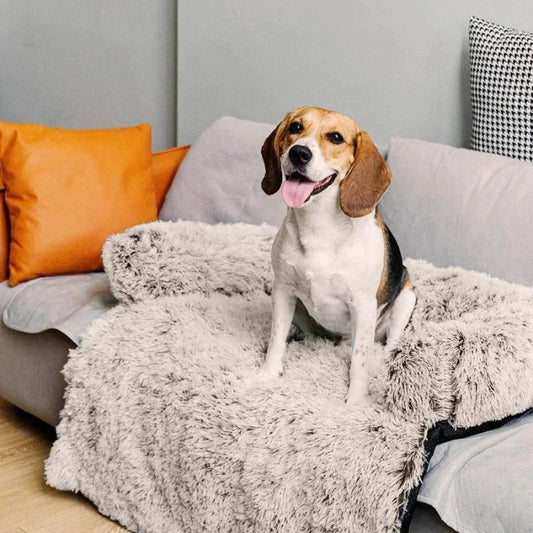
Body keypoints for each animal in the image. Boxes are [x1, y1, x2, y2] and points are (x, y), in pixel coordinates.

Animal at [258, 107, 416, 404]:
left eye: (335, 137)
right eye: (296, 127)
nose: (299, 153)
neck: (319, 228)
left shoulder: (363, 306)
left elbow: (359, 360)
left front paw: (355, 401)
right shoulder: (283, 289)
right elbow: (276, 340)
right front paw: (266, 374)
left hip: (406, 296)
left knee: (390, 342)